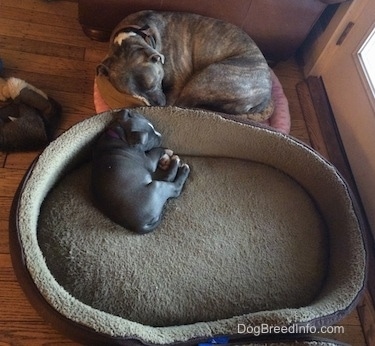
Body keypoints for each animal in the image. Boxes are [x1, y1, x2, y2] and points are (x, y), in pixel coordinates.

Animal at [97, 10, 274, 121]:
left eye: (154, 83)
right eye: (134, 95)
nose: (158, 105)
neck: (136, 34)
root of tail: (265, 96)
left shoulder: (177, 84)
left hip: (205, 79)